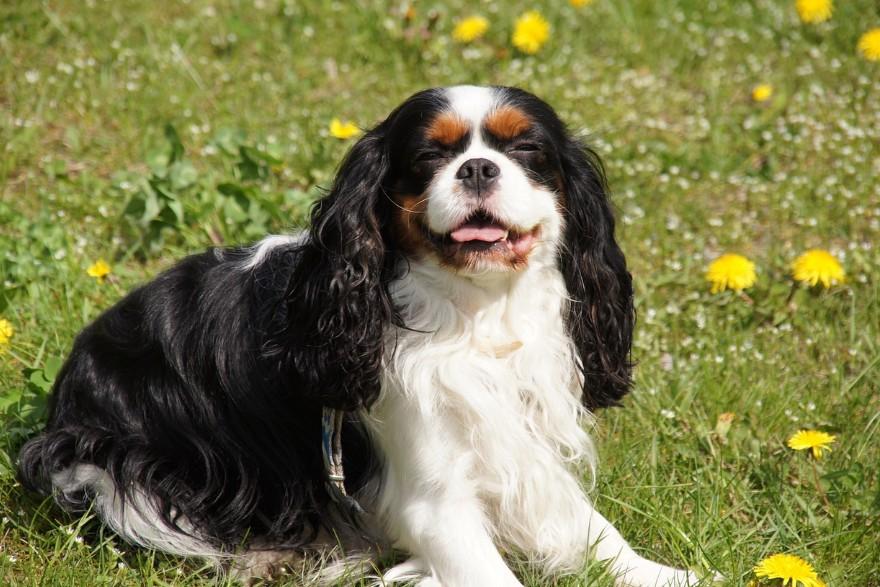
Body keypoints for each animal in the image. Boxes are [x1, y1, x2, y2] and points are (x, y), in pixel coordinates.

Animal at [18, 85, 700, 584]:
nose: (479, 167)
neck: (476, 314)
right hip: (118, 469)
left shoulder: (520, 444)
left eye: (527, 149)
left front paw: (666, 574)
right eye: (429, 157)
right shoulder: (433, 499)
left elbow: (593, 529)